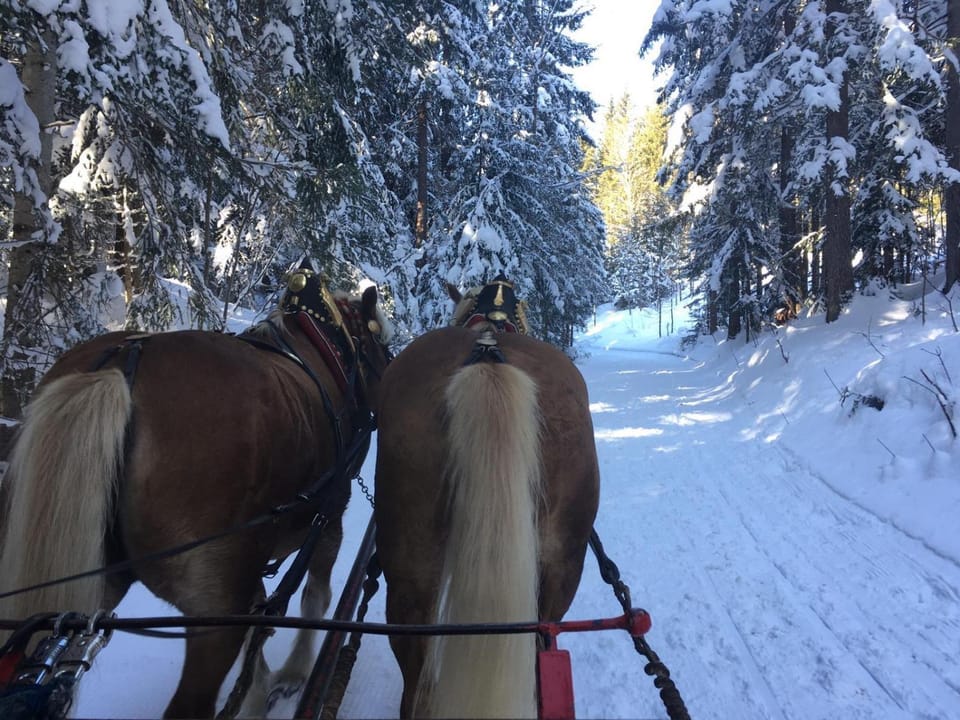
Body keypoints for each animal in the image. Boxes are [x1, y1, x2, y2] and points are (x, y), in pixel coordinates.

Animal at [0, 265, 393, 718]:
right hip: (213, 609)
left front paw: (257, 693)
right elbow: (314, 599)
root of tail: (119, 366)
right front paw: (292, 675)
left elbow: (261, 625)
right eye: (383, 347)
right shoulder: (329, 513)